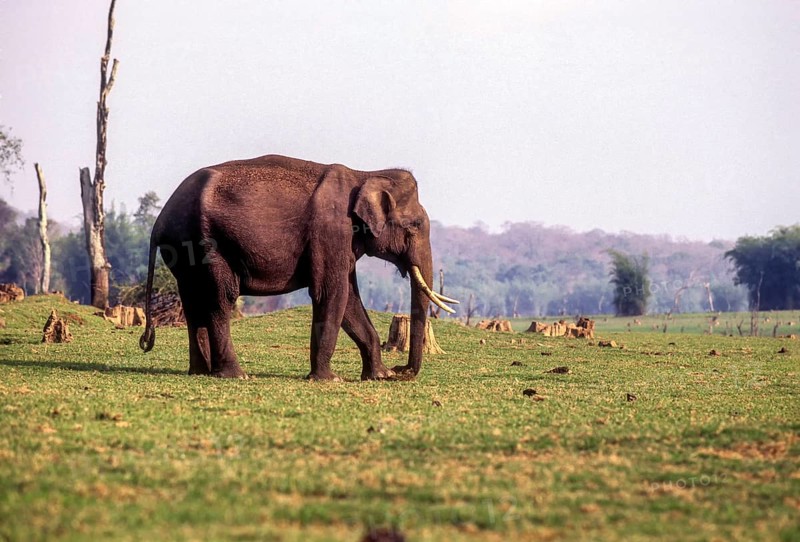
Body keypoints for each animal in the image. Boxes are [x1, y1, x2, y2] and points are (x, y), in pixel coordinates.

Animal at [139, 154, 458, 380]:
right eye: (414, 226)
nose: (402, 371)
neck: (365, 173)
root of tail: (160, 221)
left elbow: (350, 300)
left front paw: (379, 376)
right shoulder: (331, 230)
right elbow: (332, 293)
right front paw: (329, 380)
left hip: (184, 250)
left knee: (193, 300)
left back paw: (201, 372)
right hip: (207, 242)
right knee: (220, 298)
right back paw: (235, 375)